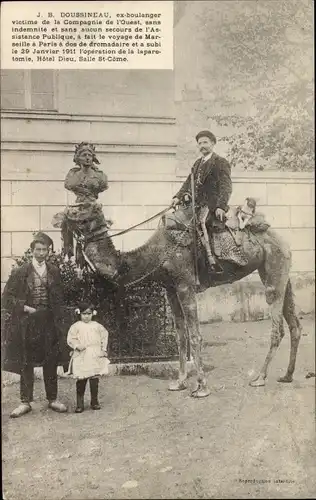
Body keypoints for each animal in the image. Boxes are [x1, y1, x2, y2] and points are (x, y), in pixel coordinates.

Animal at [66, 204, 302, 398]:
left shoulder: (185, 284)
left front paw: (202, 387)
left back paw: (260, 378)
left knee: (277, 327)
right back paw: (287, 375)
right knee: (295, 325)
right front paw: (179, 383)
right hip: (280, 272)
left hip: (273, 272)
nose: (65, 213)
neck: (157, 252)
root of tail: (283, 240)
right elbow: (181, 336)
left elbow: (195, 335)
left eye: (84, 211)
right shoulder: (171, 289)